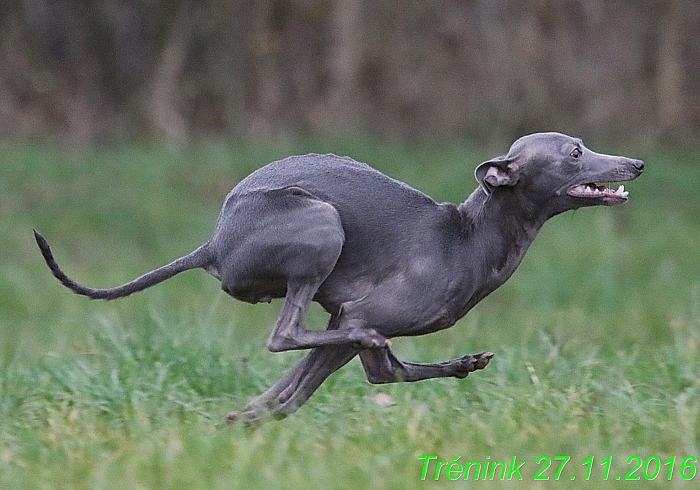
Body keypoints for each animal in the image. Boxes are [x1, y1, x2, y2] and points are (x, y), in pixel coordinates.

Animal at [35, 133, 644, 422]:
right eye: (575, 152)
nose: (636, 163)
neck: (469, 237)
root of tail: (215, 242)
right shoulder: (360, 313)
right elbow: (376, 369)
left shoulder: (341, 321)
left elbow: (292, 393)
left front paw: (244, 420)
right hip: (320, 226)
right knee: (287, 335)